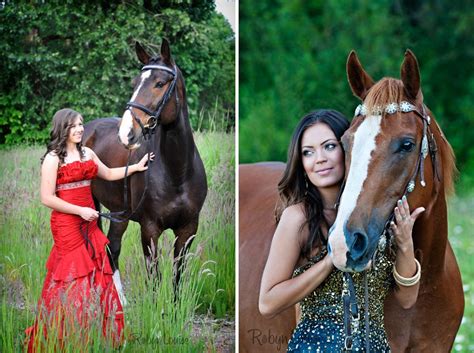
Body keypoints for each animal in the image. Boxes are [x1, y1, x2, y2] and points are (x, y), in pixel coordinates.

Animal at [82, 39, 207, 296]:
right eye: (134, 83)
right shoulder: (150, 230)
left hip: (120, 214)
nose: (126, 133)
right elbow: (155, 280)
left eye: (160, 83)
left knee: (112, 247)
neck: (178, 173)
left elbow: (177, 278)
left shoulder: (188, 230)